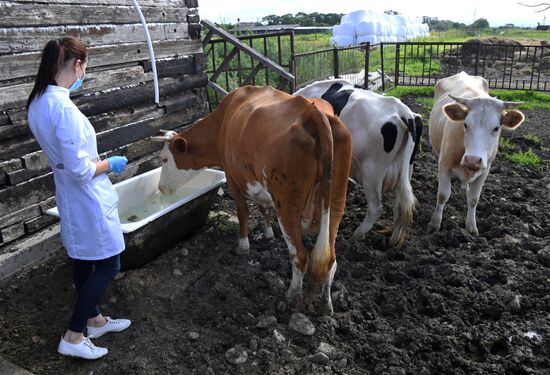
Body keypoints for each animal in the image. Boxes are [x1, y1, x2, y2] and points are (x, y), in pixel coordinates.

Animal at [152, 86, 354, 314]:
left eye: (164, 159)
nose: (160, 188)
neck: (222, 123)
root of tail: (313, 113)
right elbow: (264, 207)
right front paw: (268, 233)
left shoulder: (232, 177)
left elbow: (243, 212)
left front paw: (243, 245)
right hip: (336, 202)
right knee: (330, 260)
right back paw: (326, 305)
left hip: (287, 206)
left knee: (300, 256)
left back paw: (290, 297)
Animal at [296, 78, 424, 250]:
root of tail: (405, 113)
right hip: (404, 171)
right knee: (400, 205)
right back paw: (392, 241)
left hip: (372, 172)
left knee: (376, 208)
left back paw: (353, 238)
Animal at [432, 71, 528, 235]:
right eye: (465, 124)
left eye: (496, 128)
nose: (472, 160)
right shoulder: (444, 163)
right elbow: (443, 195)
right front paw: (435, 223)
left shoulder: (485, 170)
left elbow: (473, 199)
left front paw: (471, 226)